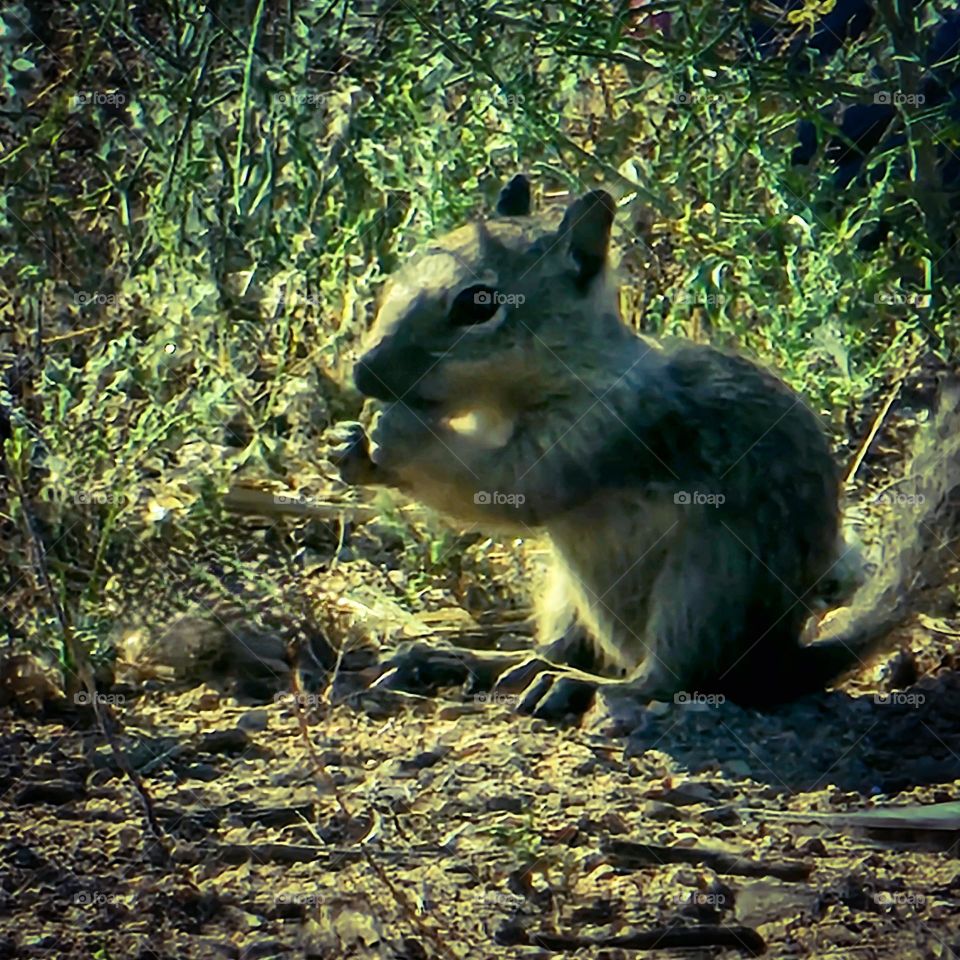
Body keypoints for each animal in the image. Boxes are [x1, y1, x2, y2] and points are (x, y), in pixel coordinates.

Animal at [330, 174, 960, 720]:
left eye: (478, 304)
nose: (362, 374)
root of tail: (777, 664)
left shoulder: (600, 431)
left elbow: (507, 486)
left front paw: (393, 433)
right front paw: (348, 445)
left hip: (703, 589)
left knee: (671, 678)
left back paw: (578, 687)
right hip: (568, 591)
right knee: (561, 647)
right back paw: (465, 660)